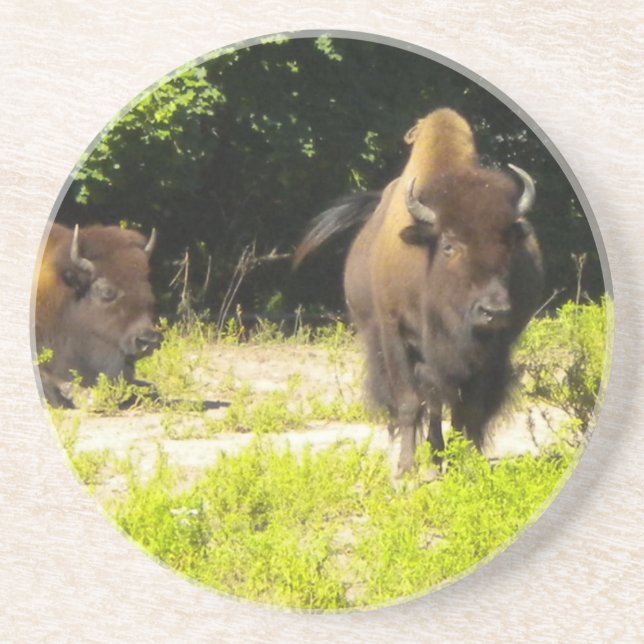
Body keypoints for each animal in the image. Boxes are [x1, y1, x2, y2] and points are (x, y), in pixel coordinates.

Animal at [295, 108, 543, 476]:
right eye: (450, 245)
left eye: (507, 243)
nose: (494, 311)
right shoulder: (395, 334)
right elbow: (410, 402)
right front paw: (405, 471)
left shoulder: (490, 350)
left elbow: (469, 408)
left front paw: (467, 463)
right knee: (428, 401)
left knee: (445, 402)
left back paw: (440, 455)